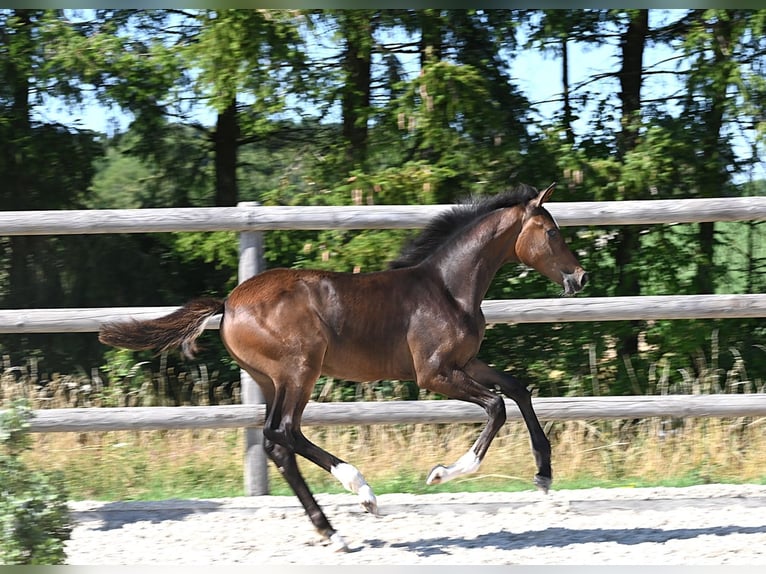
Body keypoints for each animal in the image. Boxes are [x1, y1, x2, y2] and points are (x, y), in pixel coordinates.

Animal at [99, 182, 587, 551]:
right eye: (551, 232)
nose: (579, 278)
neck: (447, 288)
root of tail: (228, 304)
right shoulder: (434, 373)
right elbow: (496, 407)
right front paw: (442, 473)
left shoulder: (464, 361)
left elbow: (517, 389)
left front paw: (544, 476)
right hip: (300, 370)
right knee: (284, 433)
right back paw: (362, 494)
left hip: (272, 380)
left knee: (277, 443)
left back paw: (331, 531)